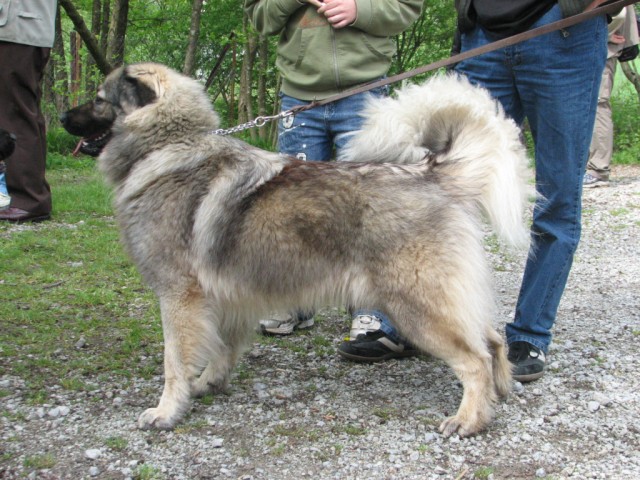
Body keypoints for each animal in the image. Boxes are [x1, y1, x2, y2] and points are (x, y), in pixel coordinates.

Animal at [60, 63, 528, 438]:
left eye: (99, 100)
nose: (63, 115)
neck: (169, 144)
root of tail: (431, 174)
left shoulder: (179, 297)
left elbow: (174, 361)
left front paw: (167, 411)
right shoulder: (227, 297)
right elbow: (222, 348)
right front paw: (208, 383)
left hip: (417, 306)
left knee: (475, 358)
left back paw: (469, 419)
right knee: (491, 340)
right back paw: (500, 393)